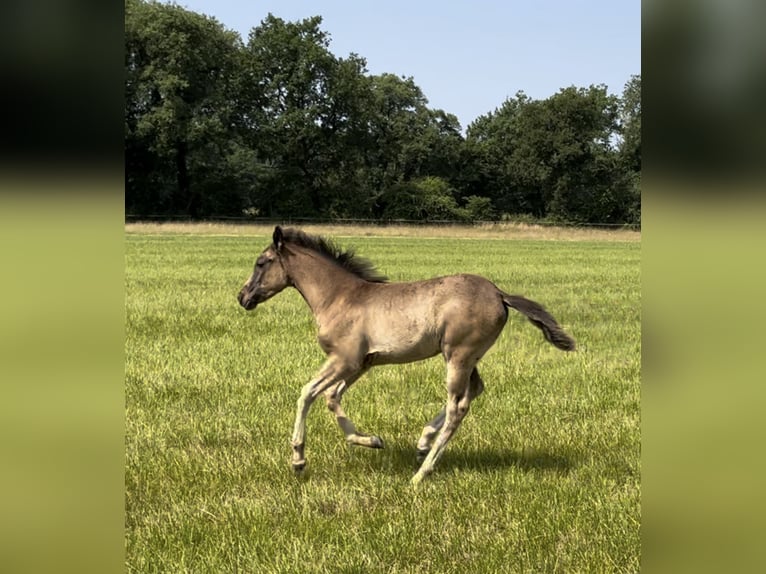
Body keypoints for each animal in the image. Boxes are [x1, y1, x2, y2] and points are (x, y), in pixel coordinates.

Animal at [238, 226, 575, 485]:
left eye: (261, 262)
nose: (243, 297)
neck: (339, 298)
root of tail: (500, 294)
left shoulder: (344, 359)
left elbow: (307, 393)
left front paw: (298, 459)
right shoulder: (361, 363)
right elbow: (333, 398)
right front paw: (372, 440)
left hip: (458, 355)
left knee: (458, 406)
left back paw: (422, 472)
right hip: (467, 357)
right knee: (474, 391)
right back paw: (423, 443)